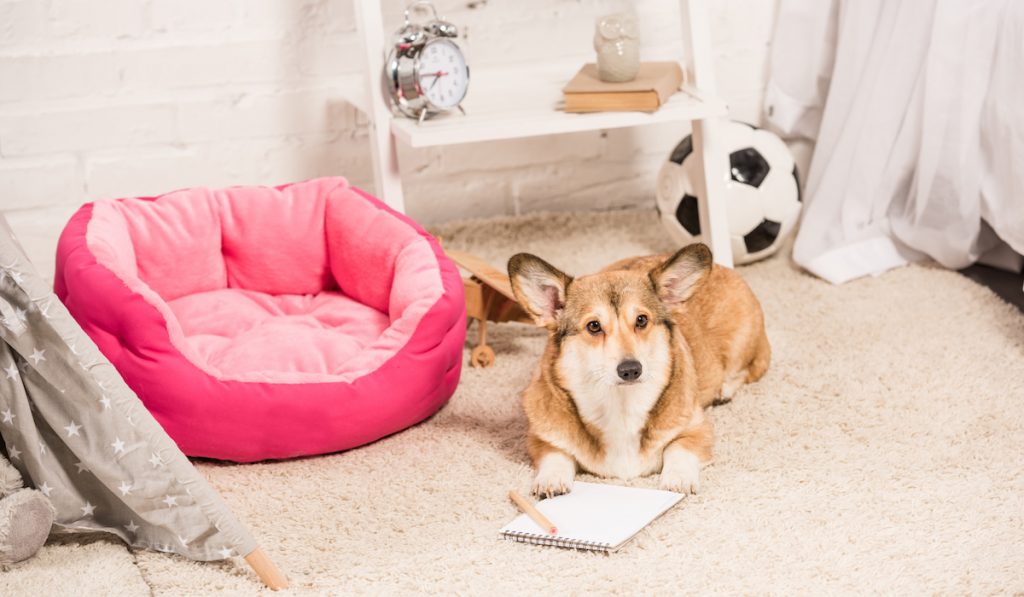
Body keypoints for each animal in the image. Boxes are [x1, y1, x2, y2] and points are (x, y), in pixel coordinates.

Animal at [503, 240, 770, 497]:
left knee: (745, 370)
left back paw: (724, 390)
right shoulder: (540, 438)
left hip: (740, 347)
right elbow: (556, 454)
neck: (621, 404)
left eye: (641, 320)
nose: (631, 369)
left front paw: (678, 479)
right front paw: (551, 480)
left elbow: (679, 449)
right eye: (593, 326)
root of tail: (727, 268)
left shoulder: (696, 429)